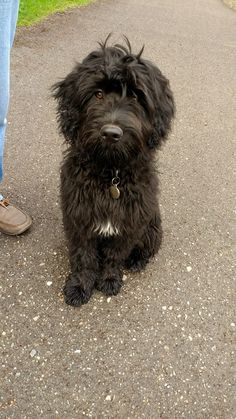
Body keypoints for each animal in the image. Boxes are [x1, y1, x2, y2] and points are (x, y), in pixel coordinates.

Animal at [53, 37, 175, 306]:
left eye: (137, 97)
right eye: (97, 94)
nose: (111, 133)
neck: (111, 174)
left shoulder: (131, 223)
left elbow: (115, 254)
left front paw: (109, 280)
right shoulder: (79, 218)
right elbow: (84, 257)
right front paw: (79, 287)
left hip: (153, 228)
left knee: (145, 249)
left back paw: (137, 261)